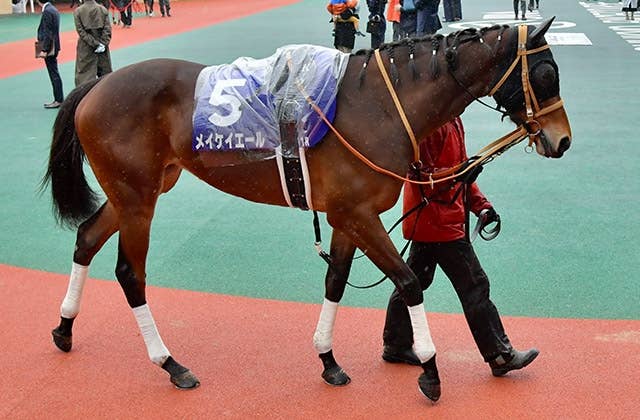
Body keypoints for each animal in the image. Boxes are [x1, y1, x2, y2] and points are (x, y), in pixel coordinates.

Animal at [42, 17, 571, 402]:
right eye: (547, 75)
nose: (562, 139)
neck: (376, 105)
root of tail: (96, 87)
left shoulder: (344, 216)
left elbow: (336, 279)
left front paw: (328, 360)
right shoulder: (358, 215)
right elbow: (409, 282)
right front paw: (430, 368)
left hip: (138, 191)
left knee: (87, 238)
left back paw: (64, 329)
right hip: (137, 199)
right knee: (130, 274)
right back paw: (170, 364)